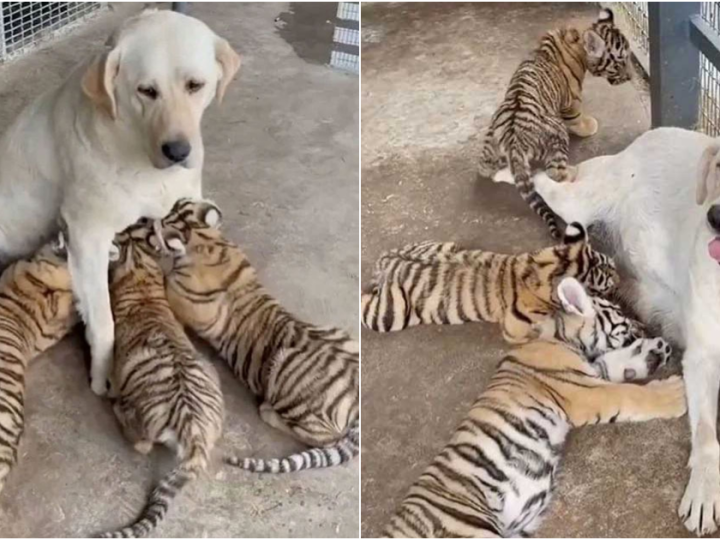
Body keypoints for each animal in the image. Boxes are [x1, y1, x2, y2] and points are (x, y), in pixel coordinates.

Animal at [0, 8, 239, 396]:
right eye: (147, 91)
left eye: (195, 85)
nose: (177, 151)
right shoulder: (87, 235)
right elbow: (103, 323)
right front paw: (103, 374)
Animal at [532, 127, 720, 536]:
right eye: (719, 166)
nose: (715, 217)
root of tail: (642, 140)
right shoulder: (701, 359)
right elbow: (707, 435)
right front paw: (705, 488)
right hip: (577, 203)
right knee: (545, 185)